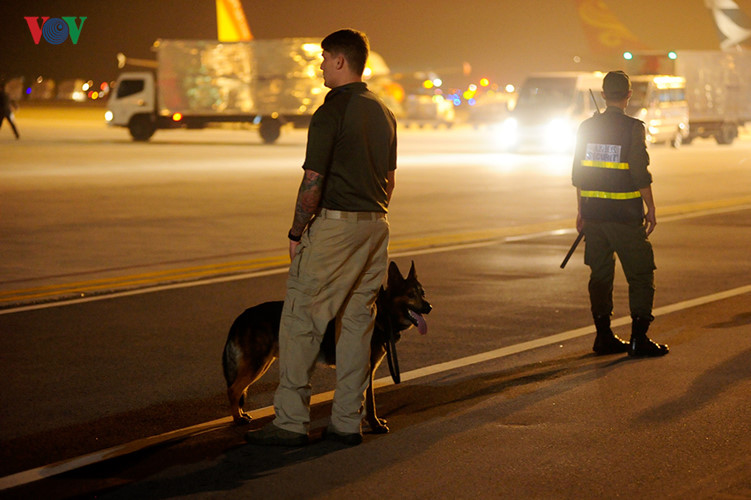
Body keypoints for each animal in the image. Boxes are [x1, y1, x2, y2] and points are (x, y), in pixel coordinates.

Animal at [223, 262, 432, 434]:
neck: (382, 313)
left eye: (423, 293)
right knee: (233, 389)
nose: (429, 307)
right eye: (411, 295)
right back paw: (238, 419)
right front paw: (375, 425)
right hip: (258, 364)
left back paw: (241, 414)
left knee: (239, 389)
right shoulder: (366, 370)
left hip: (262, 363)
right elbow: (370, 402)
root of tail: (242, 316)